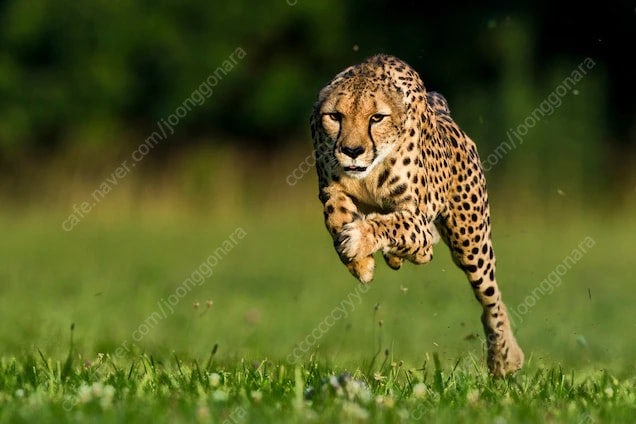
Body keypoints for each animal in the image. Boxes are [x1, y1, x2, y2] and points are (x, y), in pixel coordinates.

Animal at [310, 54, 524, 376]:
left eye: (377, 118)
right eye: (335, 116)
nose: (352, 150)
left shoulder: (417, 219)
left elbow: (394, 225)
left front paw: (360, 240)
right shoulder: (330, 189)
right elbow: (336, 216)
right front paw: (360, 263)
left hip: (470, 242)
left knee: (490, 297)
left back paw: (504, 357)